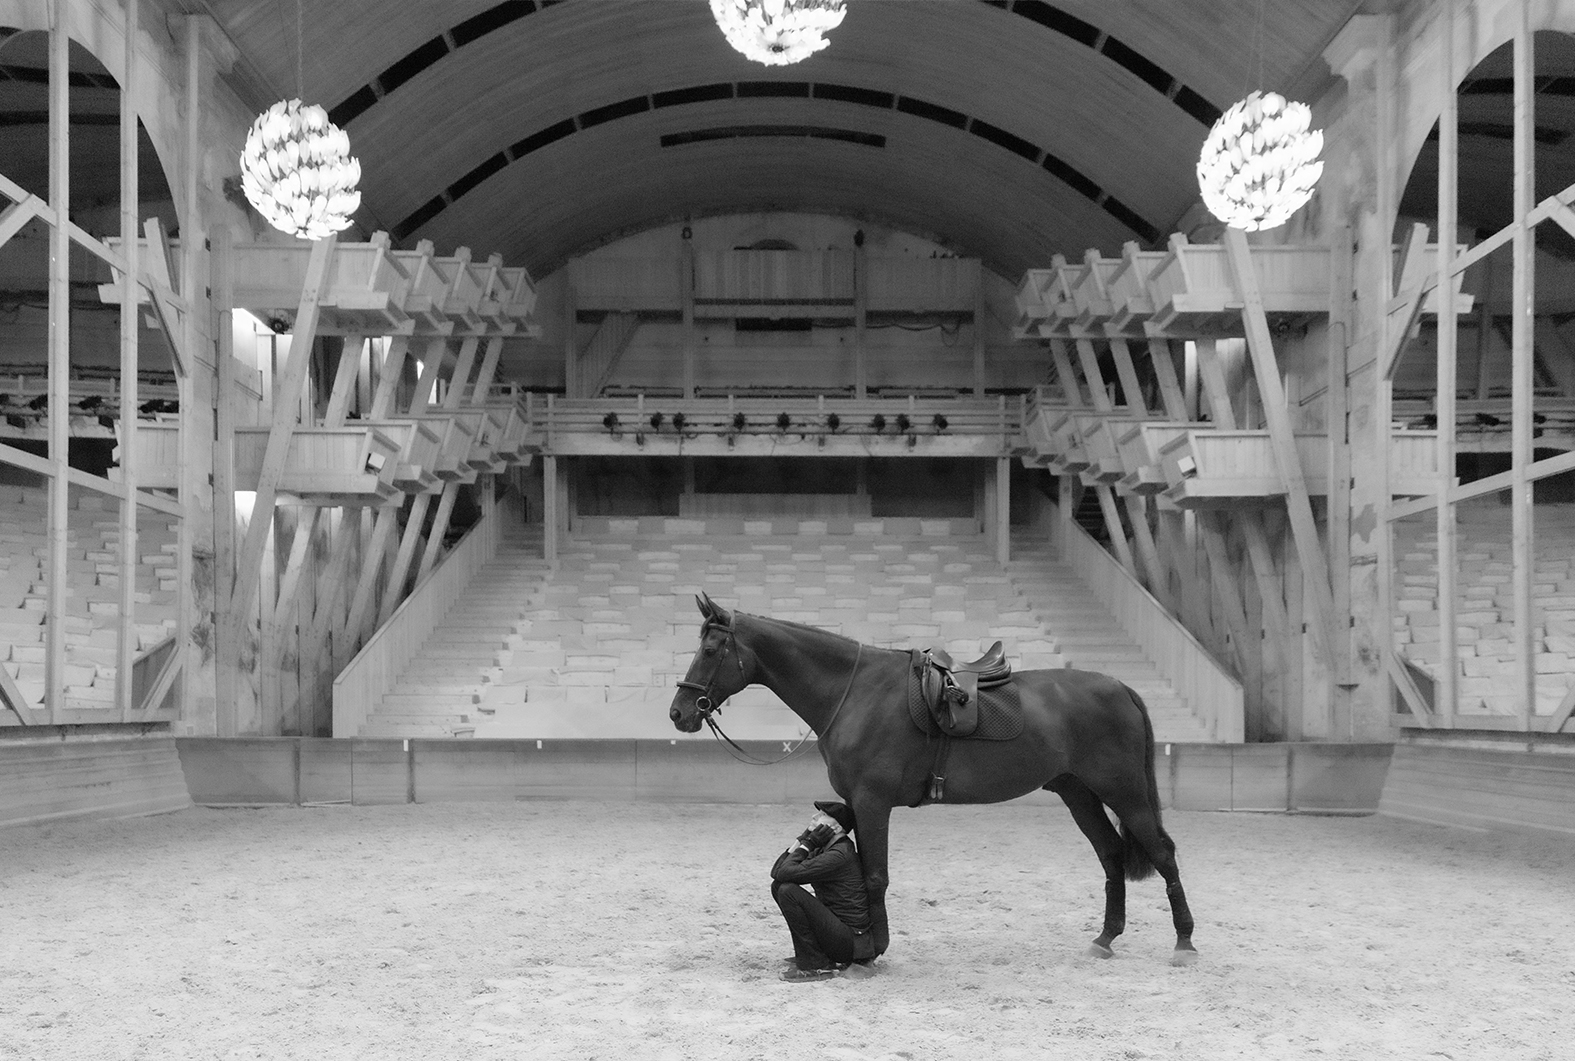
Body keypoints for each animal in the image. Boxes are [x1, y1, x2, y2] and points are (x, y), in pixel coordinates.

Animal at [670, 591, 1197, 963]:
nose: (679, 712)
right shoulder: (855, 803)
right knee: (1111, 855)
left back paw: (1184, 943)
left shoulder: (873, 801)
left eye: (712, 648)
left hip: (1124, 791)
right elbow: (865, 871)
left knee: (1162, 853)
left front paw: (873, 951)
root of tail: (1120, 686)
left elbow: (876, 876)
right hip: (1079, 793)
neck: (854, 691)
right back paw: (1105, 939)